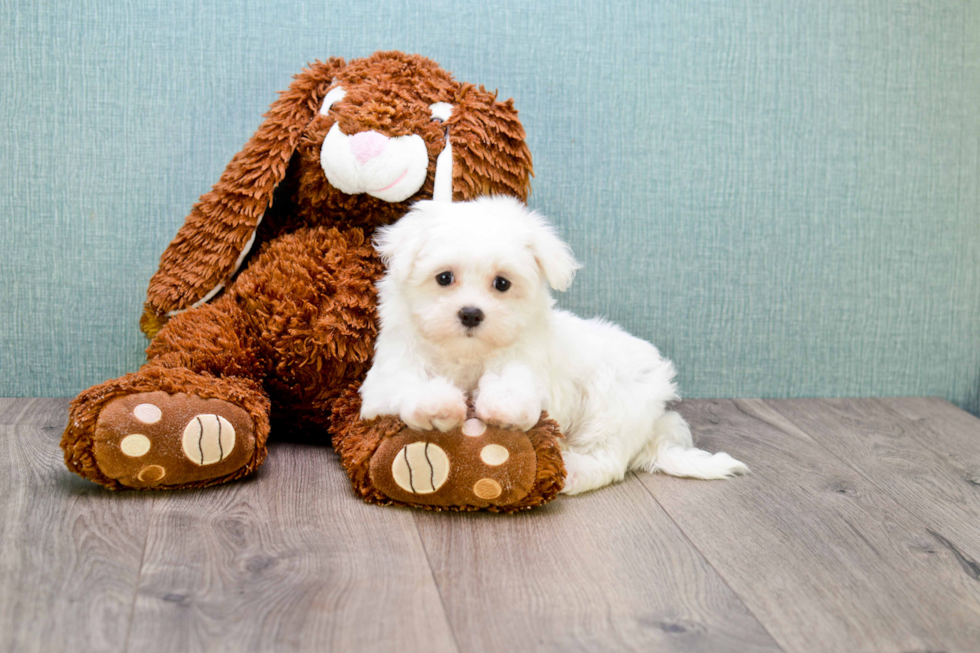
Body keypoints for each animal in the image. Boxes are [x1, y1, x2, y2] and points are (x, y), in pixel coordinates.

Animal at [356, 196, 748, 492]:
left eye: (502, 283)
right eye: (444, 278)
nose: (470, 314)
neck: (467, 354)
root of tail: (656, 423)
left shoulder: (527, 362)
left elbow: (516, 382)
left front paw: (505, 407)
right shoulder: (387, 374)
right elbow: (406, 383)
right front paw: (436, 404)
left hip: (614, 404)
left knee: (606, 456)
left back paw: (572, 470)